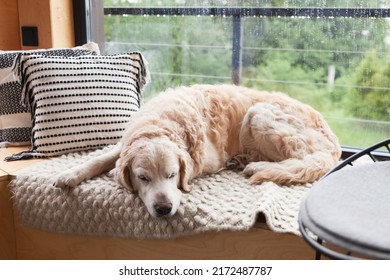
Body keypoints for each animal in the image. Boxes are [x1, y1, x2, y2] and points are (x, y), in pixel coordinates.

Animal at [53, 84, 340, 218]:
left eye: (171, 175)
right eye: (143, 178)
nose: (163, 208)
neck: (161, 124)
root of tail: (334, 141)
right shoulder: (125, 144)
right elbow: (102, 158)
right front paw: (69, 175)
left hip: (259, 114)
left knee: (299, 160)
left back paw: (257, 166)